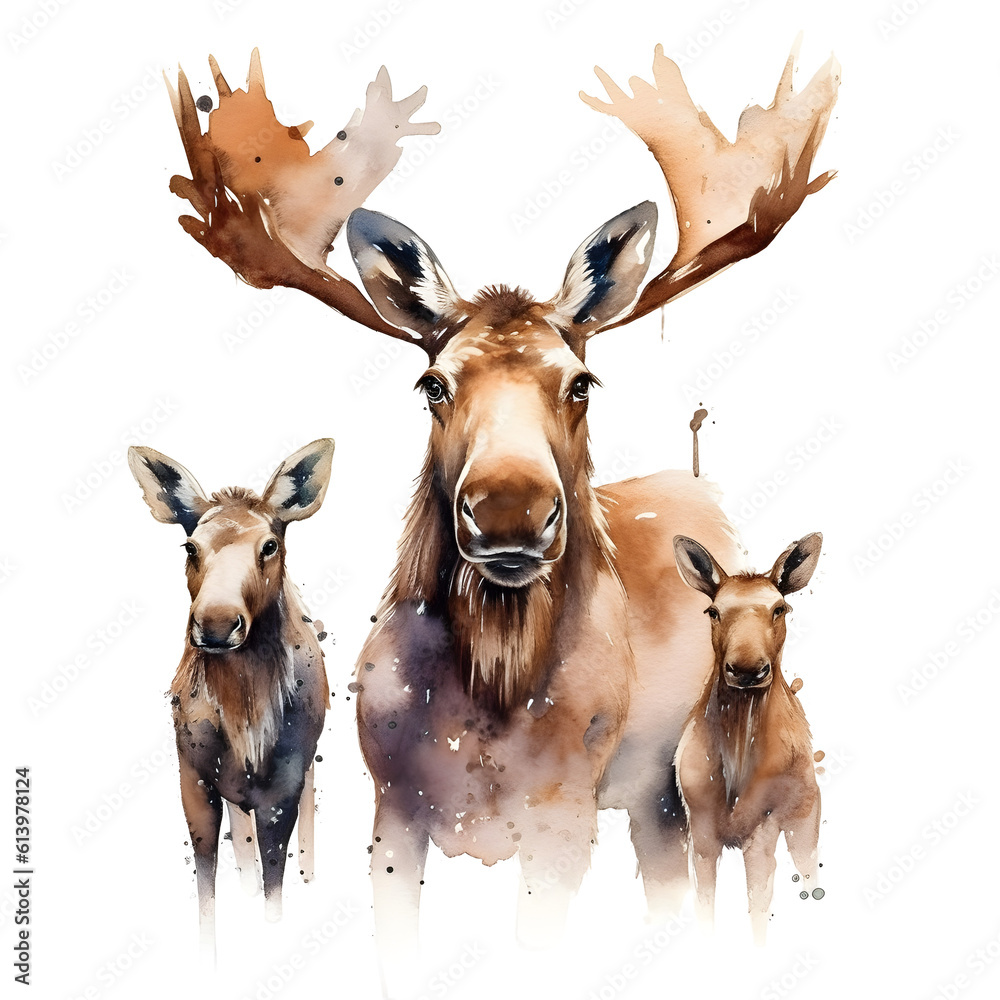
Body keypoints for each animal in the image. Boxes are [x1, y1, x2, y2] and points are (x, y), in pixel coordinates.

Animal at [128, 439, 334, 958]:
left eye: (270, 544)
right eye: (190, 546)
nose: (217, 624)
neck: (245, 720)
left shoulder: (283, 787)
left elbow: (275, 884)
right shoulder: (194, 778)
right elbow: (208, 884)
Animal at [673, 532, 824, 945]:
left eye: (779, 608)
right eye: (713, 611)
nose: (746, 669)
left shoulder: (764, 828)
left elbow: (758, 909)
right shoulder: (700, 832)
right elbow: (704, 906)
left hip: (805, 822)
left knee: (810, 878)